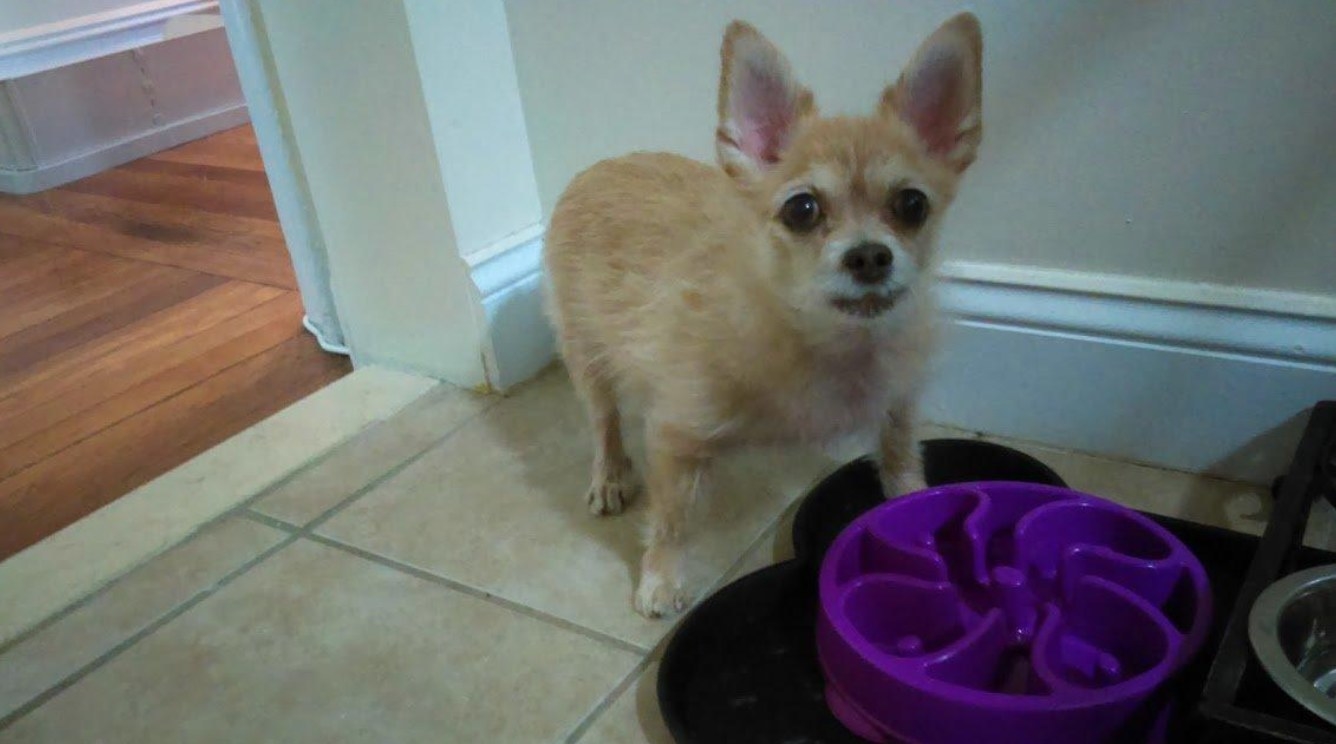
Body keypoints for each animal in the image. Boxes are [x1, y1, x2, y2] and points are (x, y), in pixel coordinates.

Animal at [539, 14, 983, 614]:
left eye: (912, 205)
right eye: (802, 209)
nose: (869, 256)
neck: (822, 338)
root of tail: (600, 166)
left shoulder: (898, 402)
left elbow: (899, 459)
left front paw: (912, 505)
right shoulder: (677, 436)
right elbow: (673, 518)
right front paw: (661, 577)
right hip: (586, 352)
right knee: (604, 418)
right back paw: (610, 474)